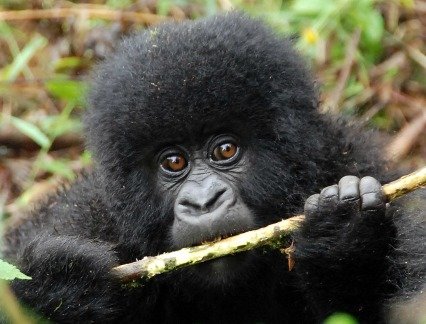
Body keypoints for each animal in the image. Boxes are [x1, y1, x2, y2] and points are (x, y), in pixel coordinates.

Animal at [1, 11, 424, 322]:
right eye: (174, 161)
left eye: (225, 150)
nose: (203, 202)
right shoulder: (82, 216)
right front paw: (63, 285)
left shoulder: (356, 160)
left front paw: (345, 238)